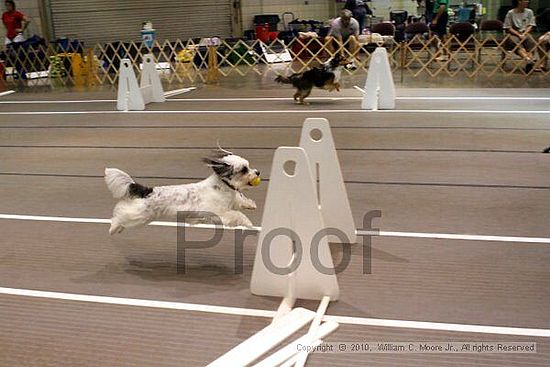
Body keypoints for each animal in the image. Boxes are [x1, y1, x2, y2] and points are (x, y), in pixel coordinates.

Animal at [105, 150, 260, 236]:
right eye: (244, 169)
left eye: (248, 166)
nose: (258, 172)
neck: (222, 187)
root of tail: (146, 190)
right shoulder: (220, 213)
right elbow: (238, 215)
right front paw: (249, 223)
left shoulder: (232, 201)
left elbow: (241, 200)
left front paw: (250, 205)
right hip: (139, 215)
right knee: (120, 214)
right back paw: (113, 228)